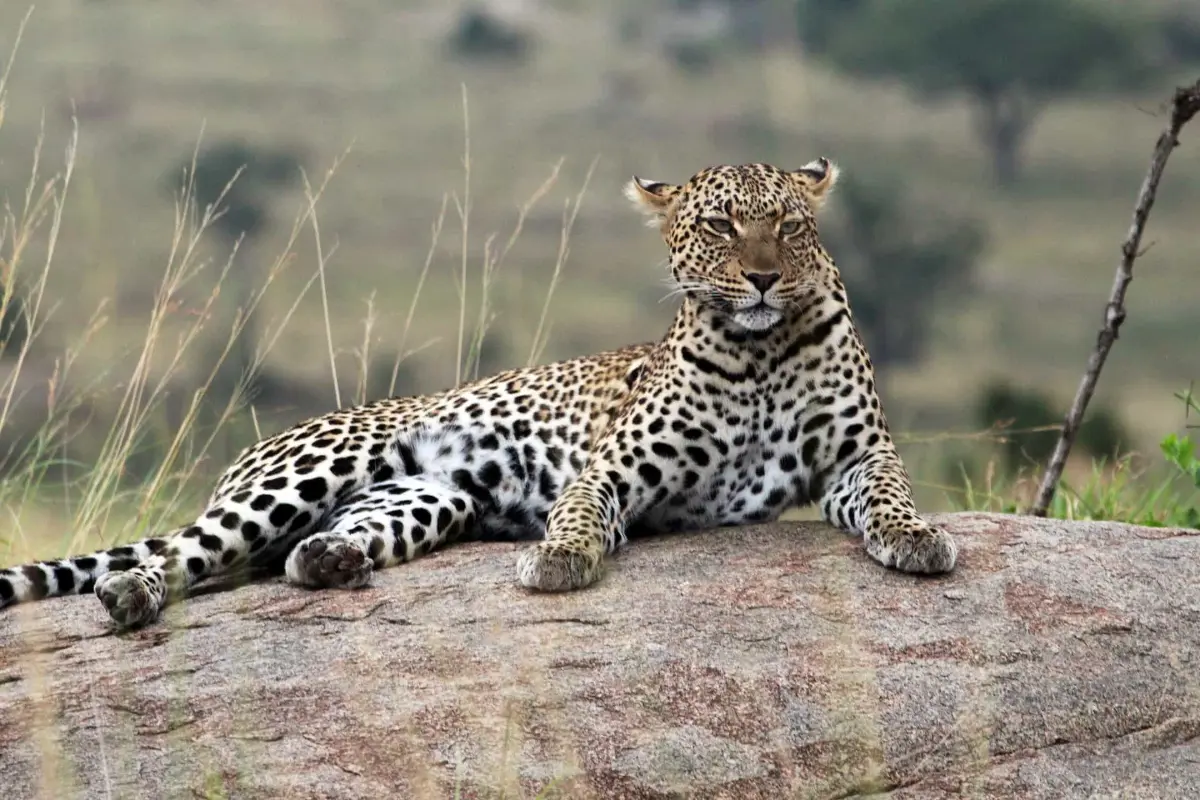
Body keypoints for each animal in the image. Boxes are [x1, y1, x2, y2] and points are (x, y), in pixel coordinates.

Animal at [0, 159, 957, 629]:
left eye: (789, 225)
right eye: (720, 224)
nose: (762, 279)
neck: (758, 351)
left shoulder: (859, 454)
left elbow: (890, 491)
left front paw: (917, 539)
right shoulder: (615, 468)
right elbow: (582, 510)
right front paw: (558, 560)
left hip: (430, 498)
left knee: (282, 558)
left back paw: (332, 561)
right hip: (303, 475)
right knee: (180, 555)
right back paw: (130, 597)